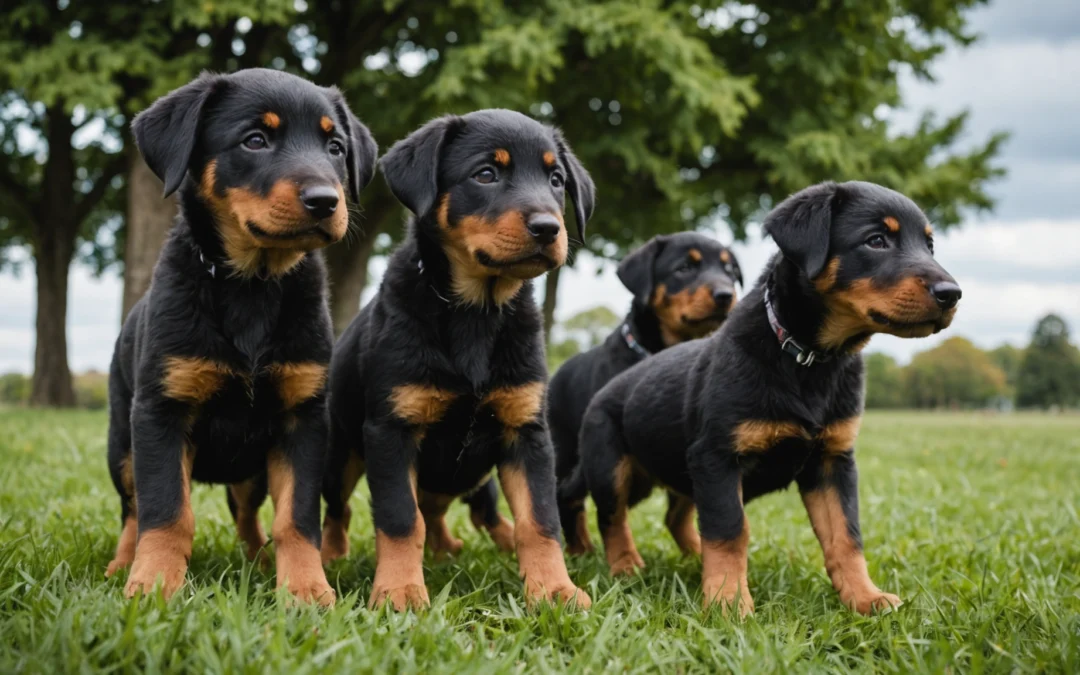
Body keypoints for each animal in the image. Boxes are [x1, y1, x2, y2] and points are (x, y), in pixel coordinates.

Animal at [105, 69, 375, 604]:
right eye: (255, 140)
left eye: (335, 146)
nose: (325, 201)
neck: (253, 284)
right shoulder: (160, 412)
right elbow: (166, 511)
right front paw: (153, 586)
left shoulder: (302, 418)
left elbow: (297, 518)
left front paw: (307, 589)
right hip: (122, 445)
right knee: (132, 510)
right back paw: (123, 564)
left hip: (252, 468)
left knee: (247, 512)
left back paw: (259, 560)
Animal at [319, 110, 600, 609]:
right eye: (485, 174)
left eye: (556, 180)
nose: (549, 227)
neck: (477, 311)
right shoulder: (391, 431)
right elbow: (399, 518)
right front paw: (399, 591)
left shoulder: (526, 432)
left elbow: (540, 521)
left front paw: (555, 589)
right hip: (342, 452)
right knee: (342, 507)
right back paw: (335, 552)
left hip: (476, 475)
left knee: (458, 508)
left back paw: (463, 545)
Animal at [552, 231, 738, 552]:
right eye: (683, 269)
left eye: (729, 271)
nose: (726, 295)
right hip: (568, 451)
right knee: (568, 500)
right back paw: (581, 550)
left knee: (675, 516)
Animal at [574, 181, 963, 613]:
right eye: (876, 240)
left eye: (929, 245)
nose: (952, 294)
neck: (809, 360)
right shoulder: (718, 457)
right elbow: (729, 530)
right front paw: (728, 604)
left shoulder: (832, 460)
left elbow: (846, 536)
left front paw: (865, 597)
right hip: (612, 466)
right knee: (612, 517)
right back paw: (626, 566)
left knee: (674, 516)